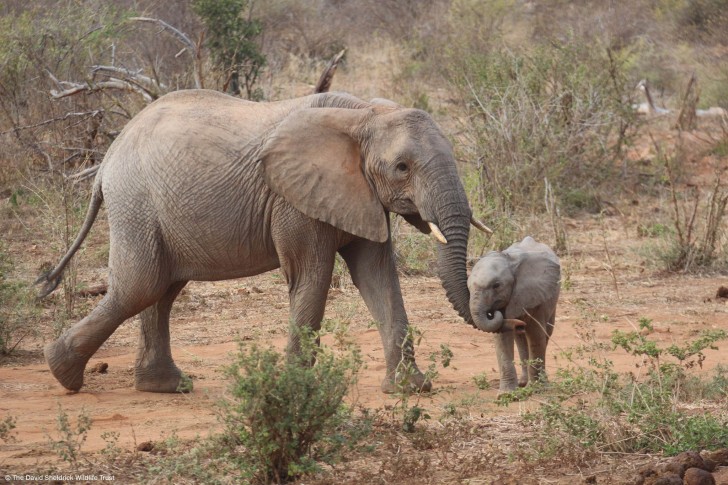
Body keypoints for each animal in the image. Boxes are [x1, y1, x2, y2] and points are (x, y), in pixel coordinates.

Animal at [35, 90, 490, 394]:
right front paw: (298, 388)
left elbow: (377, 277)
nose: (490, 313)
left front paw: (412, 389)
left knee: (160, 289)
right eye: (401, 168)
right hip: (136, 202)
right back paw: (62, 372)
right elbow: (312, 277)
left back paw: (164, 387)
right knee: (141, 285)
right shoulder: (294, 200)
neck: (363, 115)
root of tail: (107, 159)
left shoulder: (360, 194)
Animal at [470, 235, 560, 394]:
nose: (492, 312)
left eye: (496, 285)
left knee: (546, 333)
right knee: (520, 338)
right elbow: (502, 337)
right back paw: (523, 382)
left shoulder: (535, 294)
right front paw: (506, 394)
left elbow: (536, 334)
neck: (510, 262)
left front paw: (538, 389)